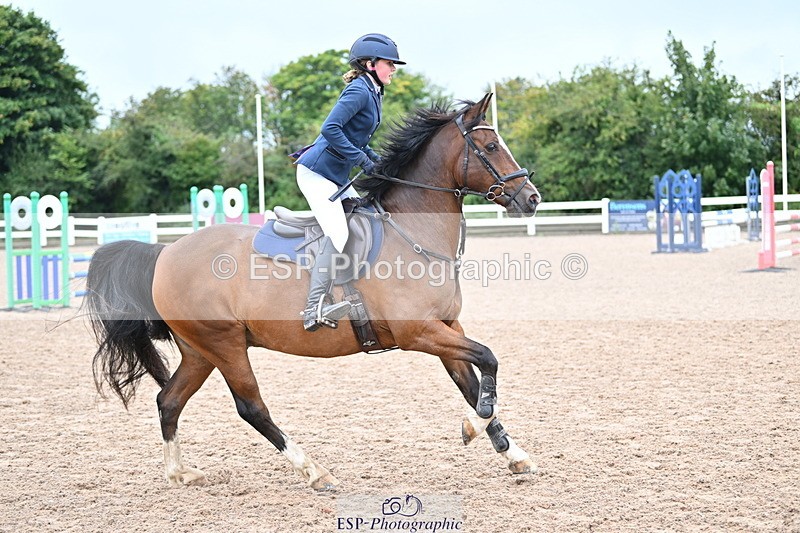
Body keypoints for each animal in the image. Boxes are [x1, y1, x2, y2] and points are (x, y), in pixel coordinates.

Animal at [85, 93, 542, 491]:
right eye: (490, 146)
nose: (532, 198)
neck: (412, 233)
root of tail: (165, 251)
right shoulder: (419, 332)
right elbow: (489, 359)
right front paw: (473, 426)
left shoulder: (447, 326)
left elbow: (473, 381)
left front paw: (512, 453)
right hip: (224, 344)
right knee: (251, 408)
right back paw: (315, 472)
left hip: (200, 350)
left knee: (169, 400)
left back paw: (181, 473)